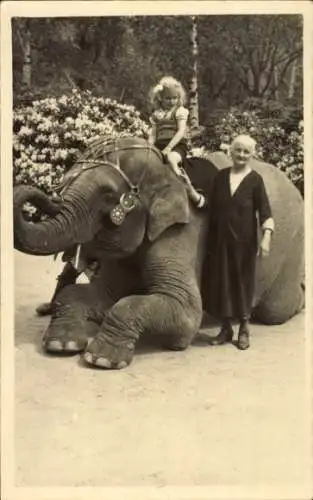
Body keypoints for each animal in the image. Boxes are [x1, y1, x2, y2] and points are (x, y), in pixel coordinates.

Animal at [13, 135, 304, 370]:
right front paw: (62, 344)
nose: (52, 196)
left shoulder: (183, 231)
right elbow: (98, 294)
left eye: (107, 195)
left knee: (275, 311)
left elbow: (182, 311)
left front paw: (102, 359)